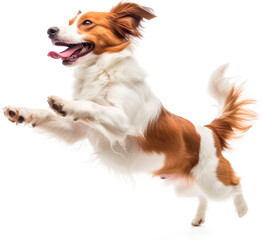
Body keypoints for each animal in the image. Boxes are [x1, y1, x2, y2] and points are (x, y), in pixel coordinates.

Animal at [2, 1, 256, 226]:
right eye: (69, 22)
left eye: (87, 23)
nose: (50, 30)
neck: (100, 72)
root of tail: (209, 130)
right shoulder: (77, 129)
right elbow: (48, 115)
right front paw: (20, 112)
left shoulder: (122, 121)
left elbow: (91, 106)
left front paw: (63, 103)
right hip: (185, 184)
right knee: (202, 196)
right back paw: (199, 218)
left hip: (213, 181)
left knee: (235, 184)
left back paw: (243, 209)